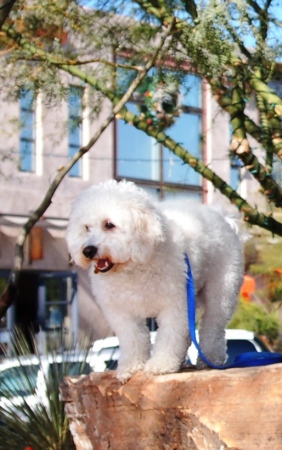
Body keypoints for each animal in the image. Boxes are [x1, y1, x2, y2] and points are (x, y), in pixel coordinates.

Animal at [65, 178, 242, 382]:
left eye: (109, 225)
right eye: (86, 227)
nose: (87, 250)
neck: (135, 265)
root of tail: (223, 218)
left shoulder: (175, 304)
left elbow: (170, 335)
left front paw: (161, 364)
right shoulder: (121, 311)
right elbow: (133, 338)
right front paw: (130, 366)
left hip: (222, 289)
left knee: (213, 325)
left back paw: (210, 358)